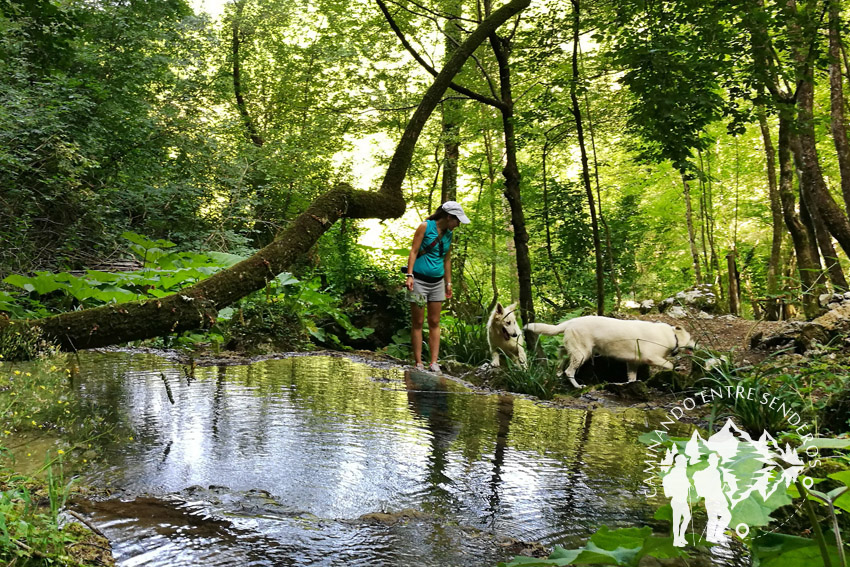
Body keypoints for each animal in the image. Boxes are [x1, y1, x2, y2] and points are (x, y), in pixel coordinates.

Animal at [524, 318, 696, 388]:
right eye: (691, 338)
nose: (697, 345)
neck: (672, 336)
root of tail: (571, 321)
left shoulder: (633, 363)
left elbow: (632, 378)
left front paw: (629, 385)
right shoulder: (652, 357)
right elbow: (669, 364)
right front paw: (676, 370)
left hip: (572, 351)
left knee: (560, 363)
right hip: (583, 354)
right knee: (569, 371)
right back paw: (578, 386)